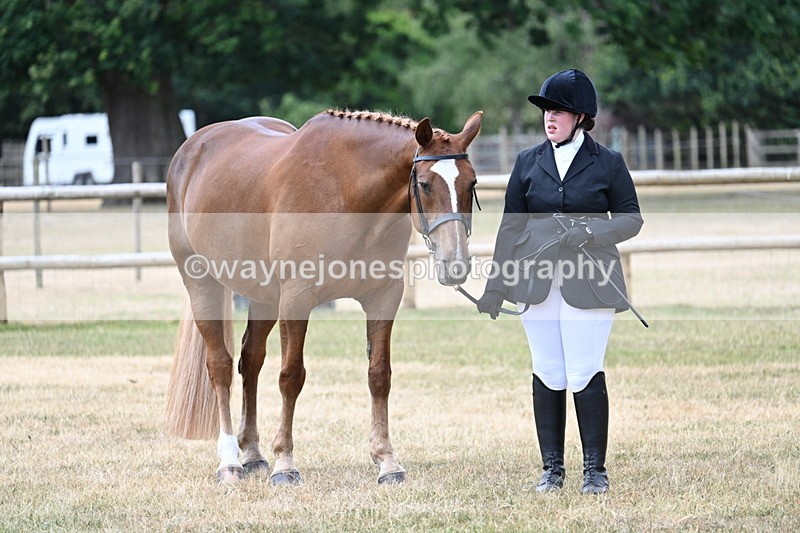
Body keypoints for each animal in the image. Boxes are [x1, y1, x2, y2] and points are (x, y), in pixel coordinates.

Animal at [164, 109, 483, 484]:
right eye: (424, 185)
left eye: (471, 184)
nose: (455, 263)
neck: (347, 192)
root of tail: (192, 147)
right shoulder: (296, 300)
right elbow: (290, 377)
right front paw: (285, 464)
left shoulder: (383, 297)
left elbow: (379, 376)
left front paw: (386, 461)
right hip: (203, 284)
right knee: (221, 366)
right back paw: (229, 463)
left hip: (264, 298)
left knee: (251, 361)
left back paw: (253, 454)